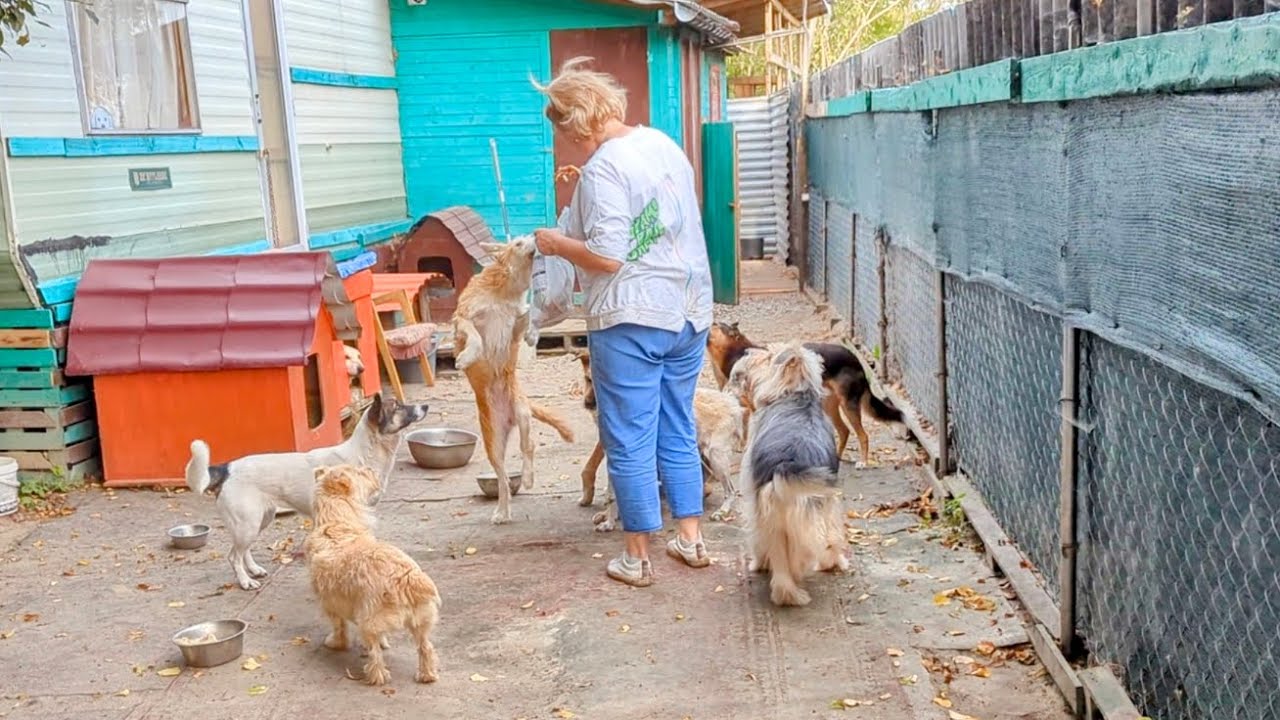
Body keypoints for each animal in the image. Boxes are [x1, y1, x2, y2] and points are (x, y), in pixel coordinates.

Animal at [303, 461, 440, 681]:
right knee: (425, 648)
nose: (369, 469)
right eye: (358, 471)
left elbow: (339, 626)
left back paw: (376, 677)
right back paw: (426, 675)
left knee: (375, 655)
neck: (336, 522)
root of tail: (407, 579)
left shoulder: (330, 603)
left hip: (369, 623)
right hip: (421, 622)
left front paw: (336, 642)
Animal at [448, 234, 573, 520]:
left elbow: (528, 317)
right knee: (503, 477)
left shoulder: (515, 323)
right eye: (518, 242)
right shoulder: (463, 317)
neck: (503, 291)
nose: (536, 236)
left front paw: (534, 333)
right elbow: (475, 337)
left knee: (528, 447)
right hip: (493, 442)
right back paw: (502, 511)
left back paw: (527, 478)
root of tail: (507, 418)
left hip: (523, 416)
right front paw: (468, 357)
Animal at [742, 340, 849, 604]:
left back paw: (786, 591)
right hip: (817, 505)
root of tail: (788, 464)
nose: (748, 352)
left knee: (782, 561)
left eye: (768, 356)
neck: (796, 395)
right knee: (822, 541)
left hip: (775, 516)